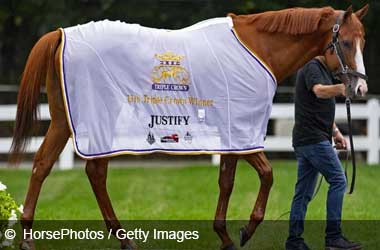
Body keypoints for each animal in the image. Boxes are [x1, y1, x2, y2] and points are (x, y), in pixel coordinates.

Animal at [11, 4, 368, 250]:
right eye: (345, 43)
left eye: (363, 41)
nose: (360, 88)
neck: (258, 49)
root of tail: (60, 34)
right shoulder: (242, 131)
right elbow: (266, 175)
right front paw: (245, 231)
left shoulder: (231, 135)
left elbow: (226, 181)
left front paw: (224, 235)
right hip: (92, 118)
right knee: (79, 170)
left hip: (64, 121)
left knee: (48, 166)